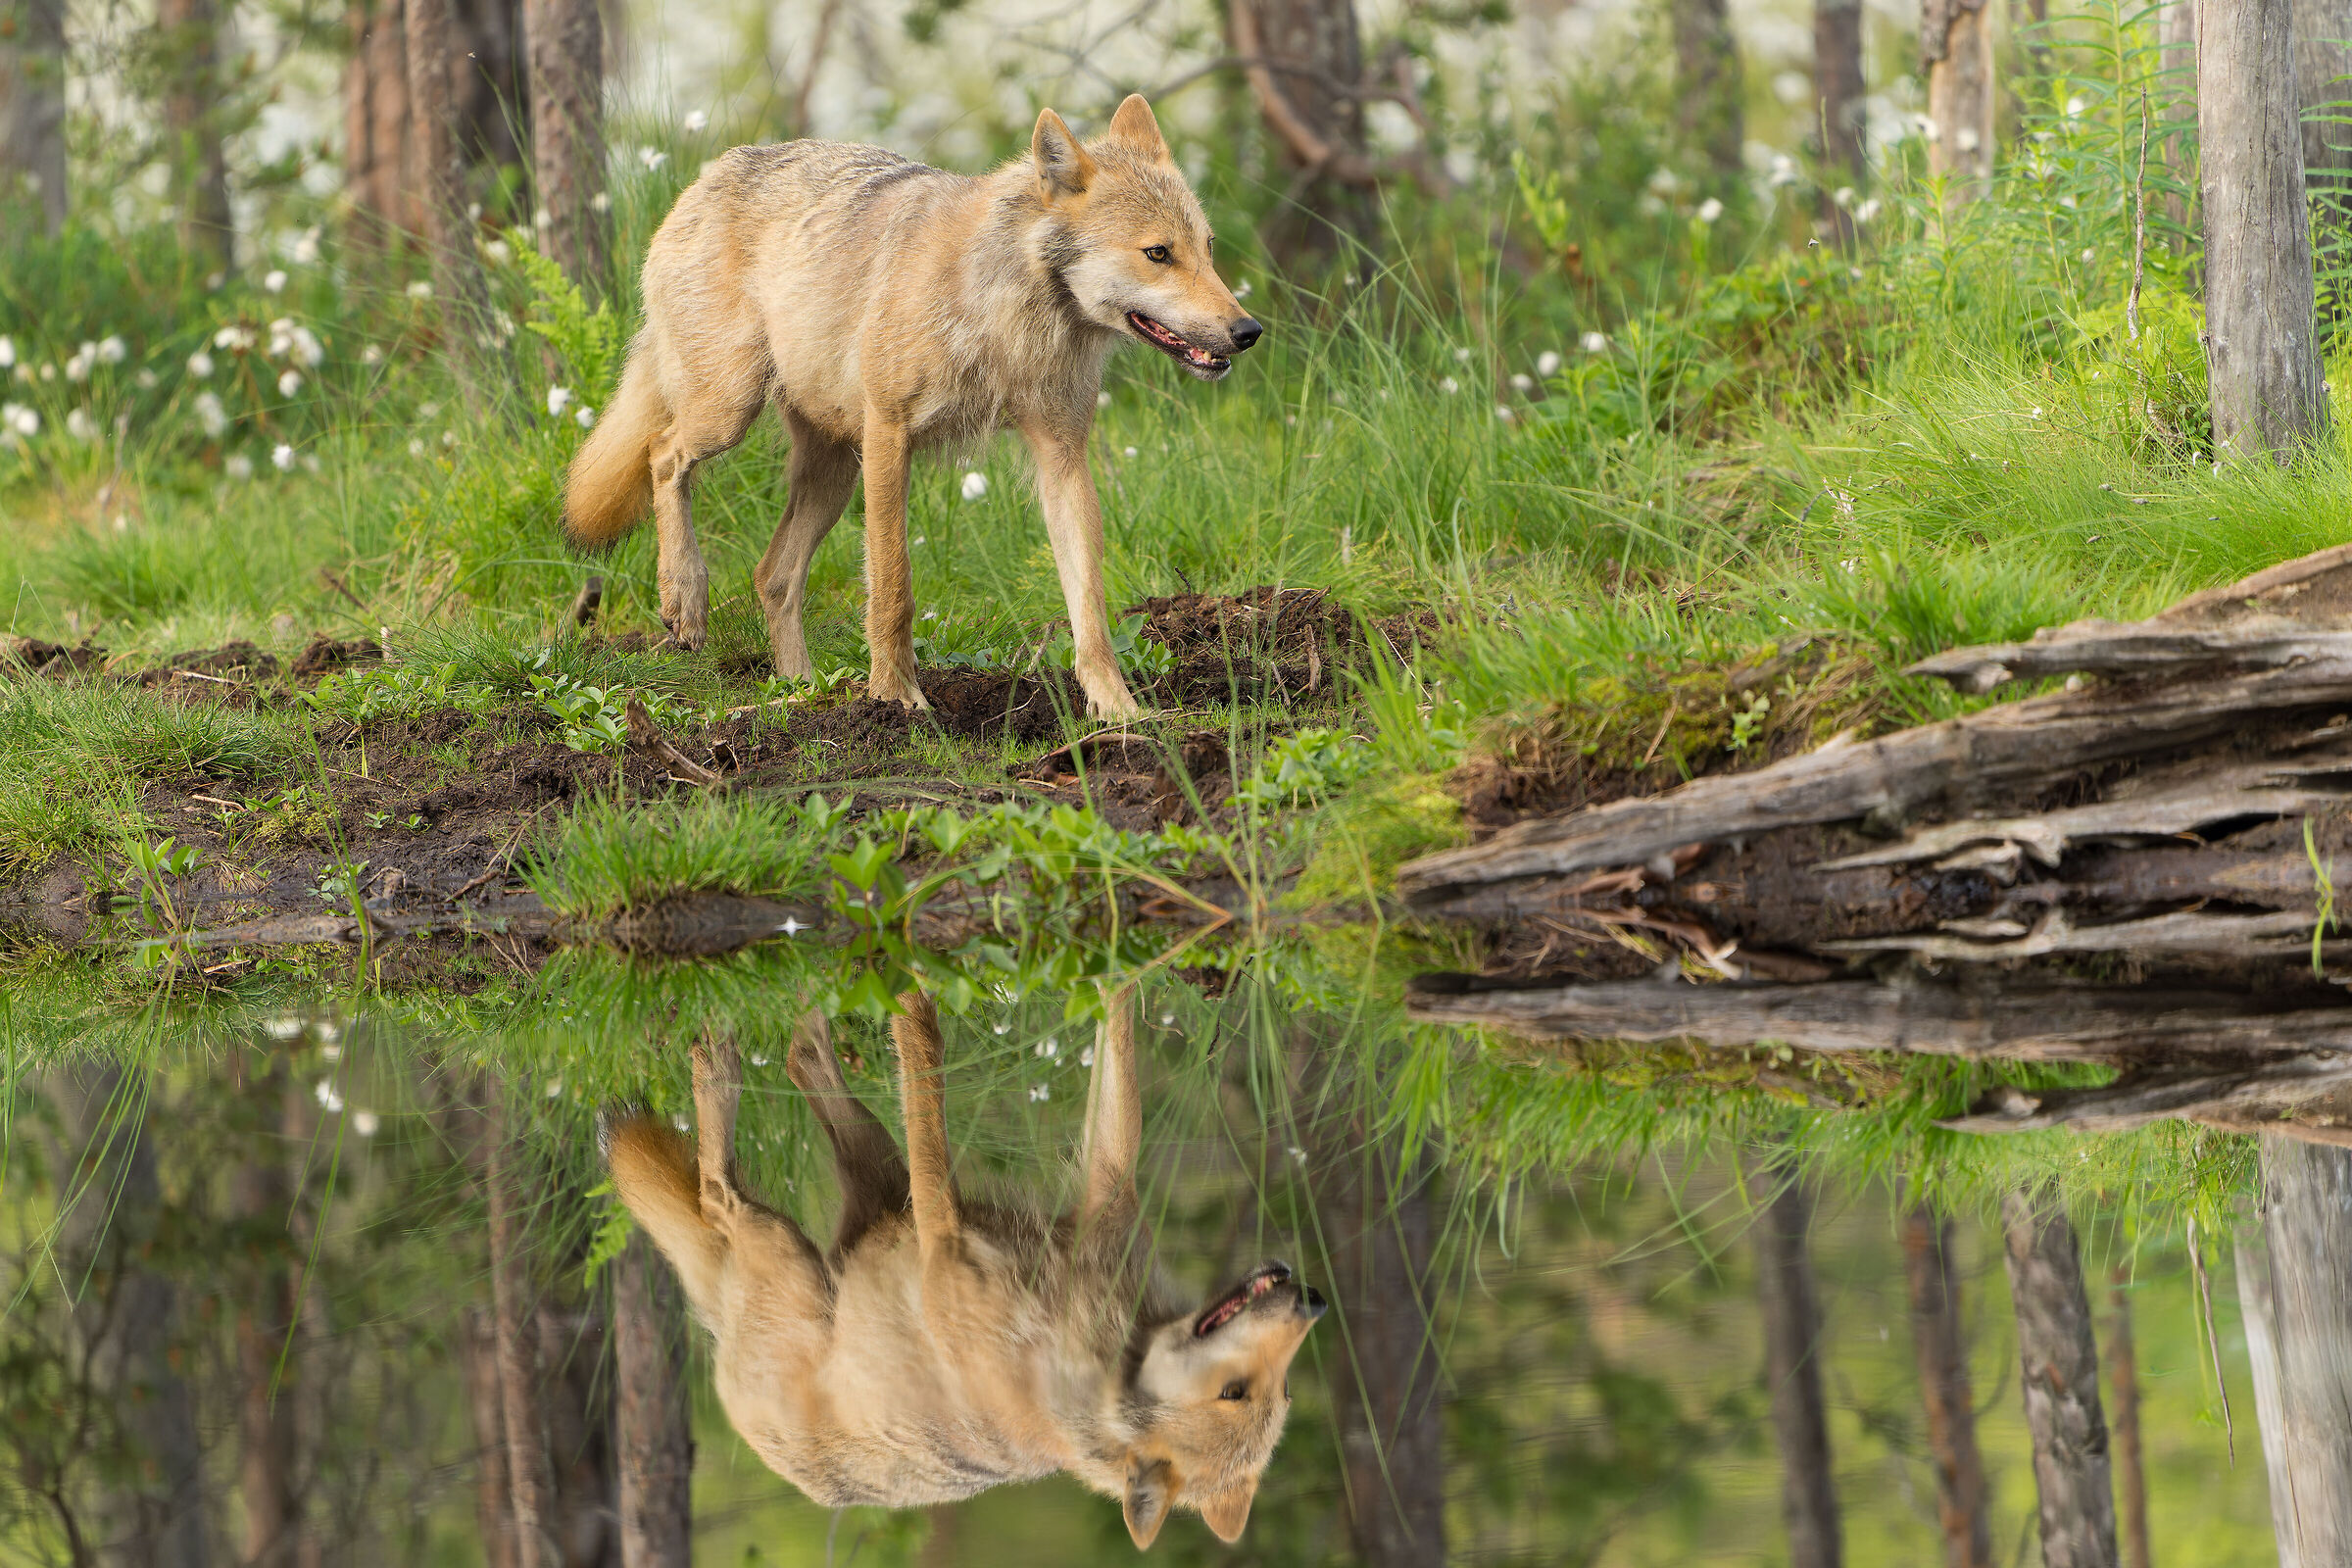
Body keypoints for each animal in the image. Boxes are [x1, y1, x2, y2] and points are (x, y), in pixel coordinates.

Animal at [562, 95, 1262, 720]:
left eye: (1207, 247)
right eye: (1158, 254)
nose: (1248, 330)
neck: (1005, 318)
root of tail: (710, 174)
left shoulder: (1063, 455)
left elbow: (1088, 602)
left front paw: (1120, 712)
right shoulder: (889, 435)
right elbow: (893, 590)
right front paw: (894, 700)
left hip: (832, 474)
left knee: (772, 576)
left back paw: (802, 696)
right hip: (732, 413)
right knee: (662, 455)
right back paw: (685, 599)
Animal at [601, 994, 1324, 1549]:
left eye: (1246, 1392)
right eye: (1265, 1392)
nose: (1313, 1300)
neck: (1102, 1350)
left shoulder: (941, 1241)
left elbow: (926, 1069)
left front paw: (913, 994)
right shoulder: (1105, 1188)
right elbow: (1118, 1070)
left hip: (795, 1259)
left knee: (718, 1189)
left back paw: (718, 1062)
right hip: (870, 1198)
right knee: (798, 1059)